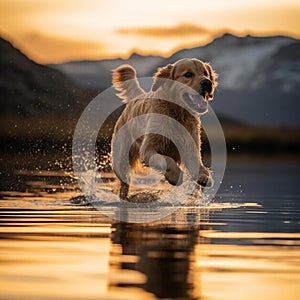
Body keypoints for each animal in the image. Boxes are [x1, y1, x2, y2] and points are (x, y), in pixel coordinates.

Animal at [111, 58, 217, 199]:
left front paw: (204, 176)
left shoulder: (190, 146)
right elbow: (166, 160)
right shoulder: (148, 148)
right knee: (124, 182)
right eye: (188, 74)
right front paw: (176, 176)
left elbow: (197, 163)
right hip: (121, 158)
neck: (177, 113)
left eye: (205, 73)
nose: (207, 83)